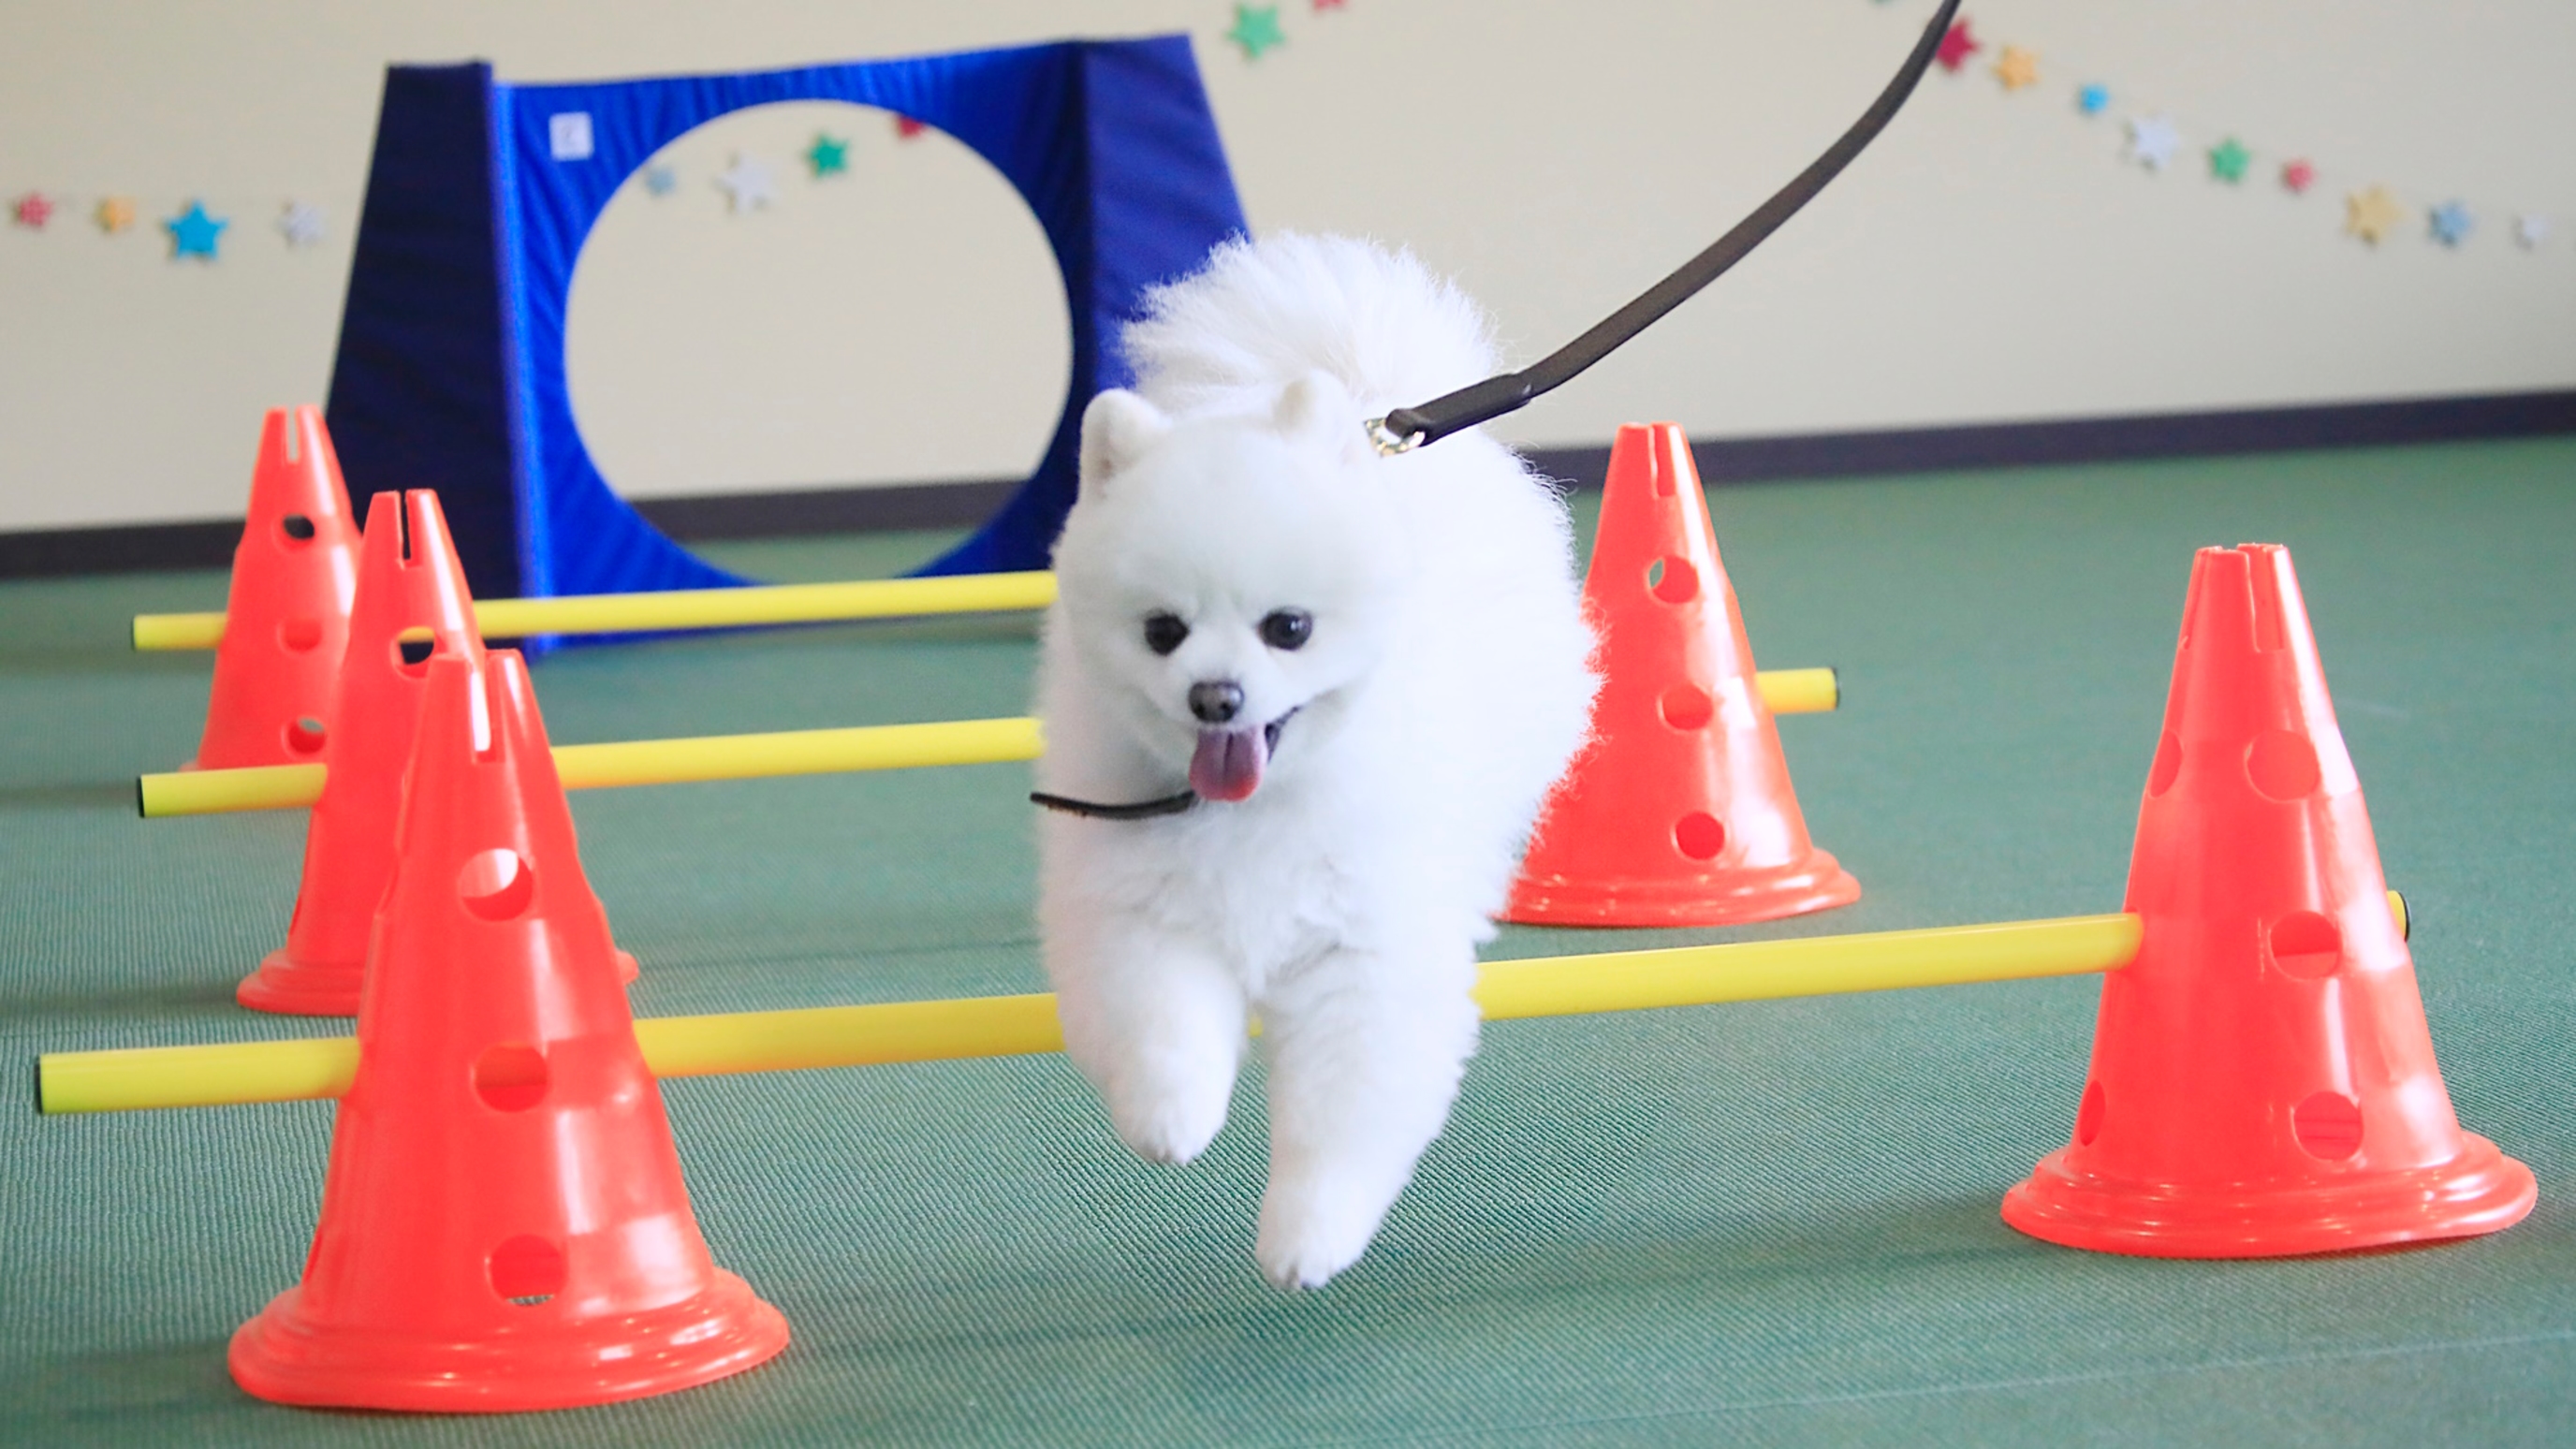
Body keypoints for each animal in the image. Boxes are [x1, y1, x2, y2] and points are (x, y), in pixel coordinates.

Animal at [1035, 237, 1597, 1283]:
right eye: (1162, 631)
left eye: (1286, 628)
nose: (1216, 697)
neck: (1255, 808)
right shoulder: (1141, 909)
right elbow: (1162, 1026)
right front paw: (1172, 1121)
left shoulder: (1365, 955)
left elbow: (1339, 1121)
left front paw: (1307, 1236)